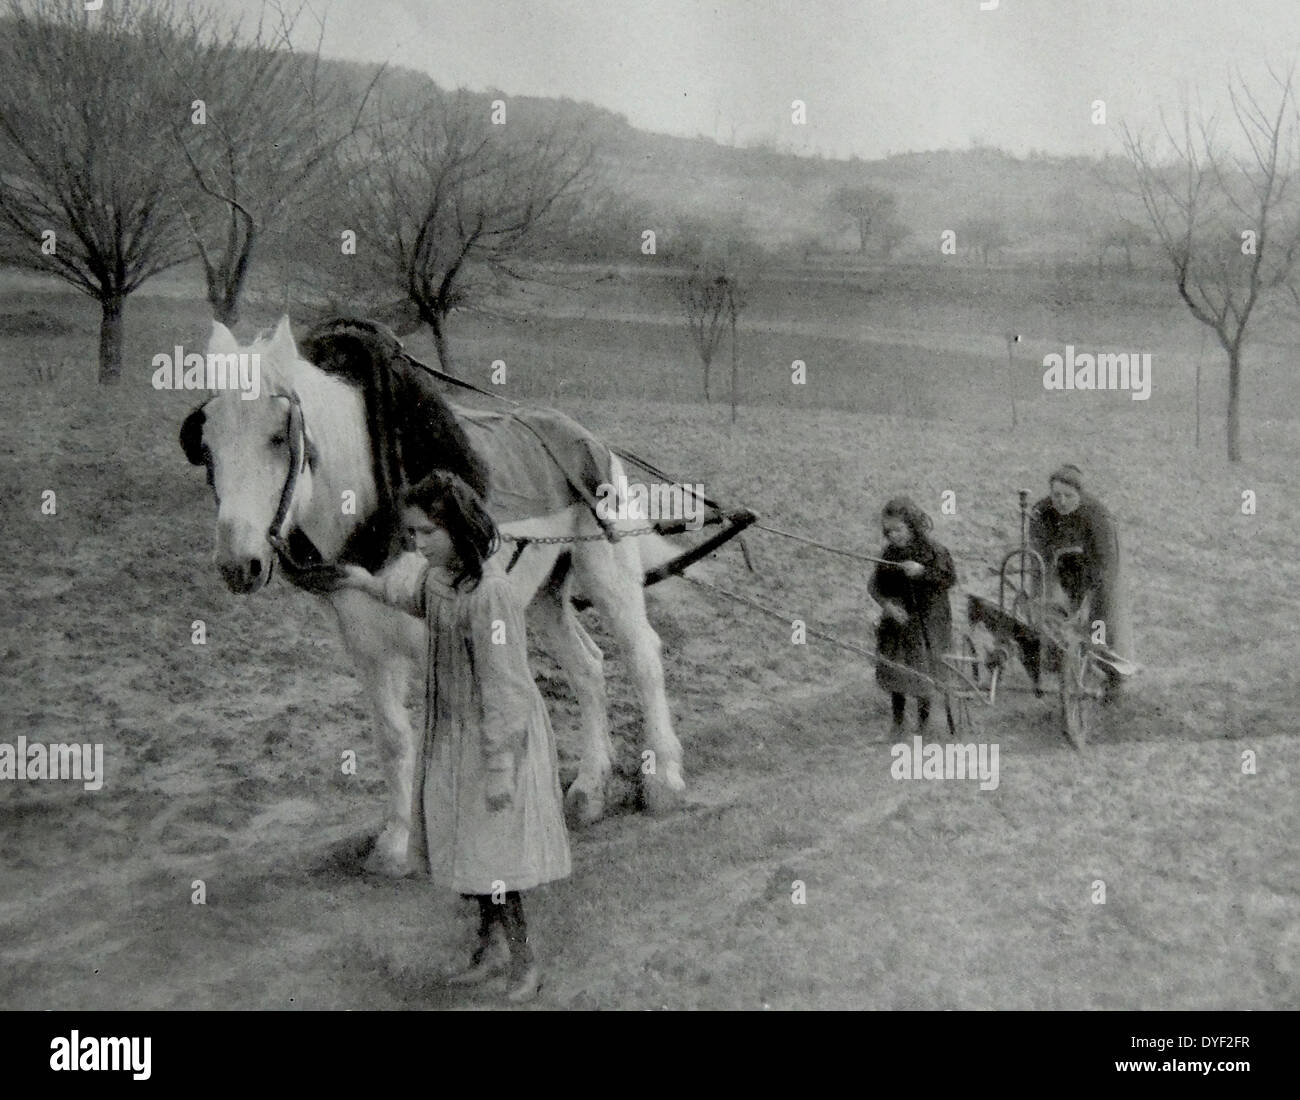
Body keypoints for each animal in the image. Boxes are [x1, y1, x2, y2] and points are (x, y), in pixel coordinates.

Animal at [183, 318, 691, 878]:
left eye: (278, 437)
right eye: (205, 445)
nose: (238, 564)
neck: (373, 506)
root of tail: (590, 439)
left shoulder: (438, 634)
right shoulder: (368, 646)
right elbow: (393, 737)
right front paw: (396, 841)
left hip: (606, 569)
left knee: (641, 656)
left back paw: (664, 779)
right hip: (541, 593)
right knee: (588, 666)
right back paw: (588, 789)